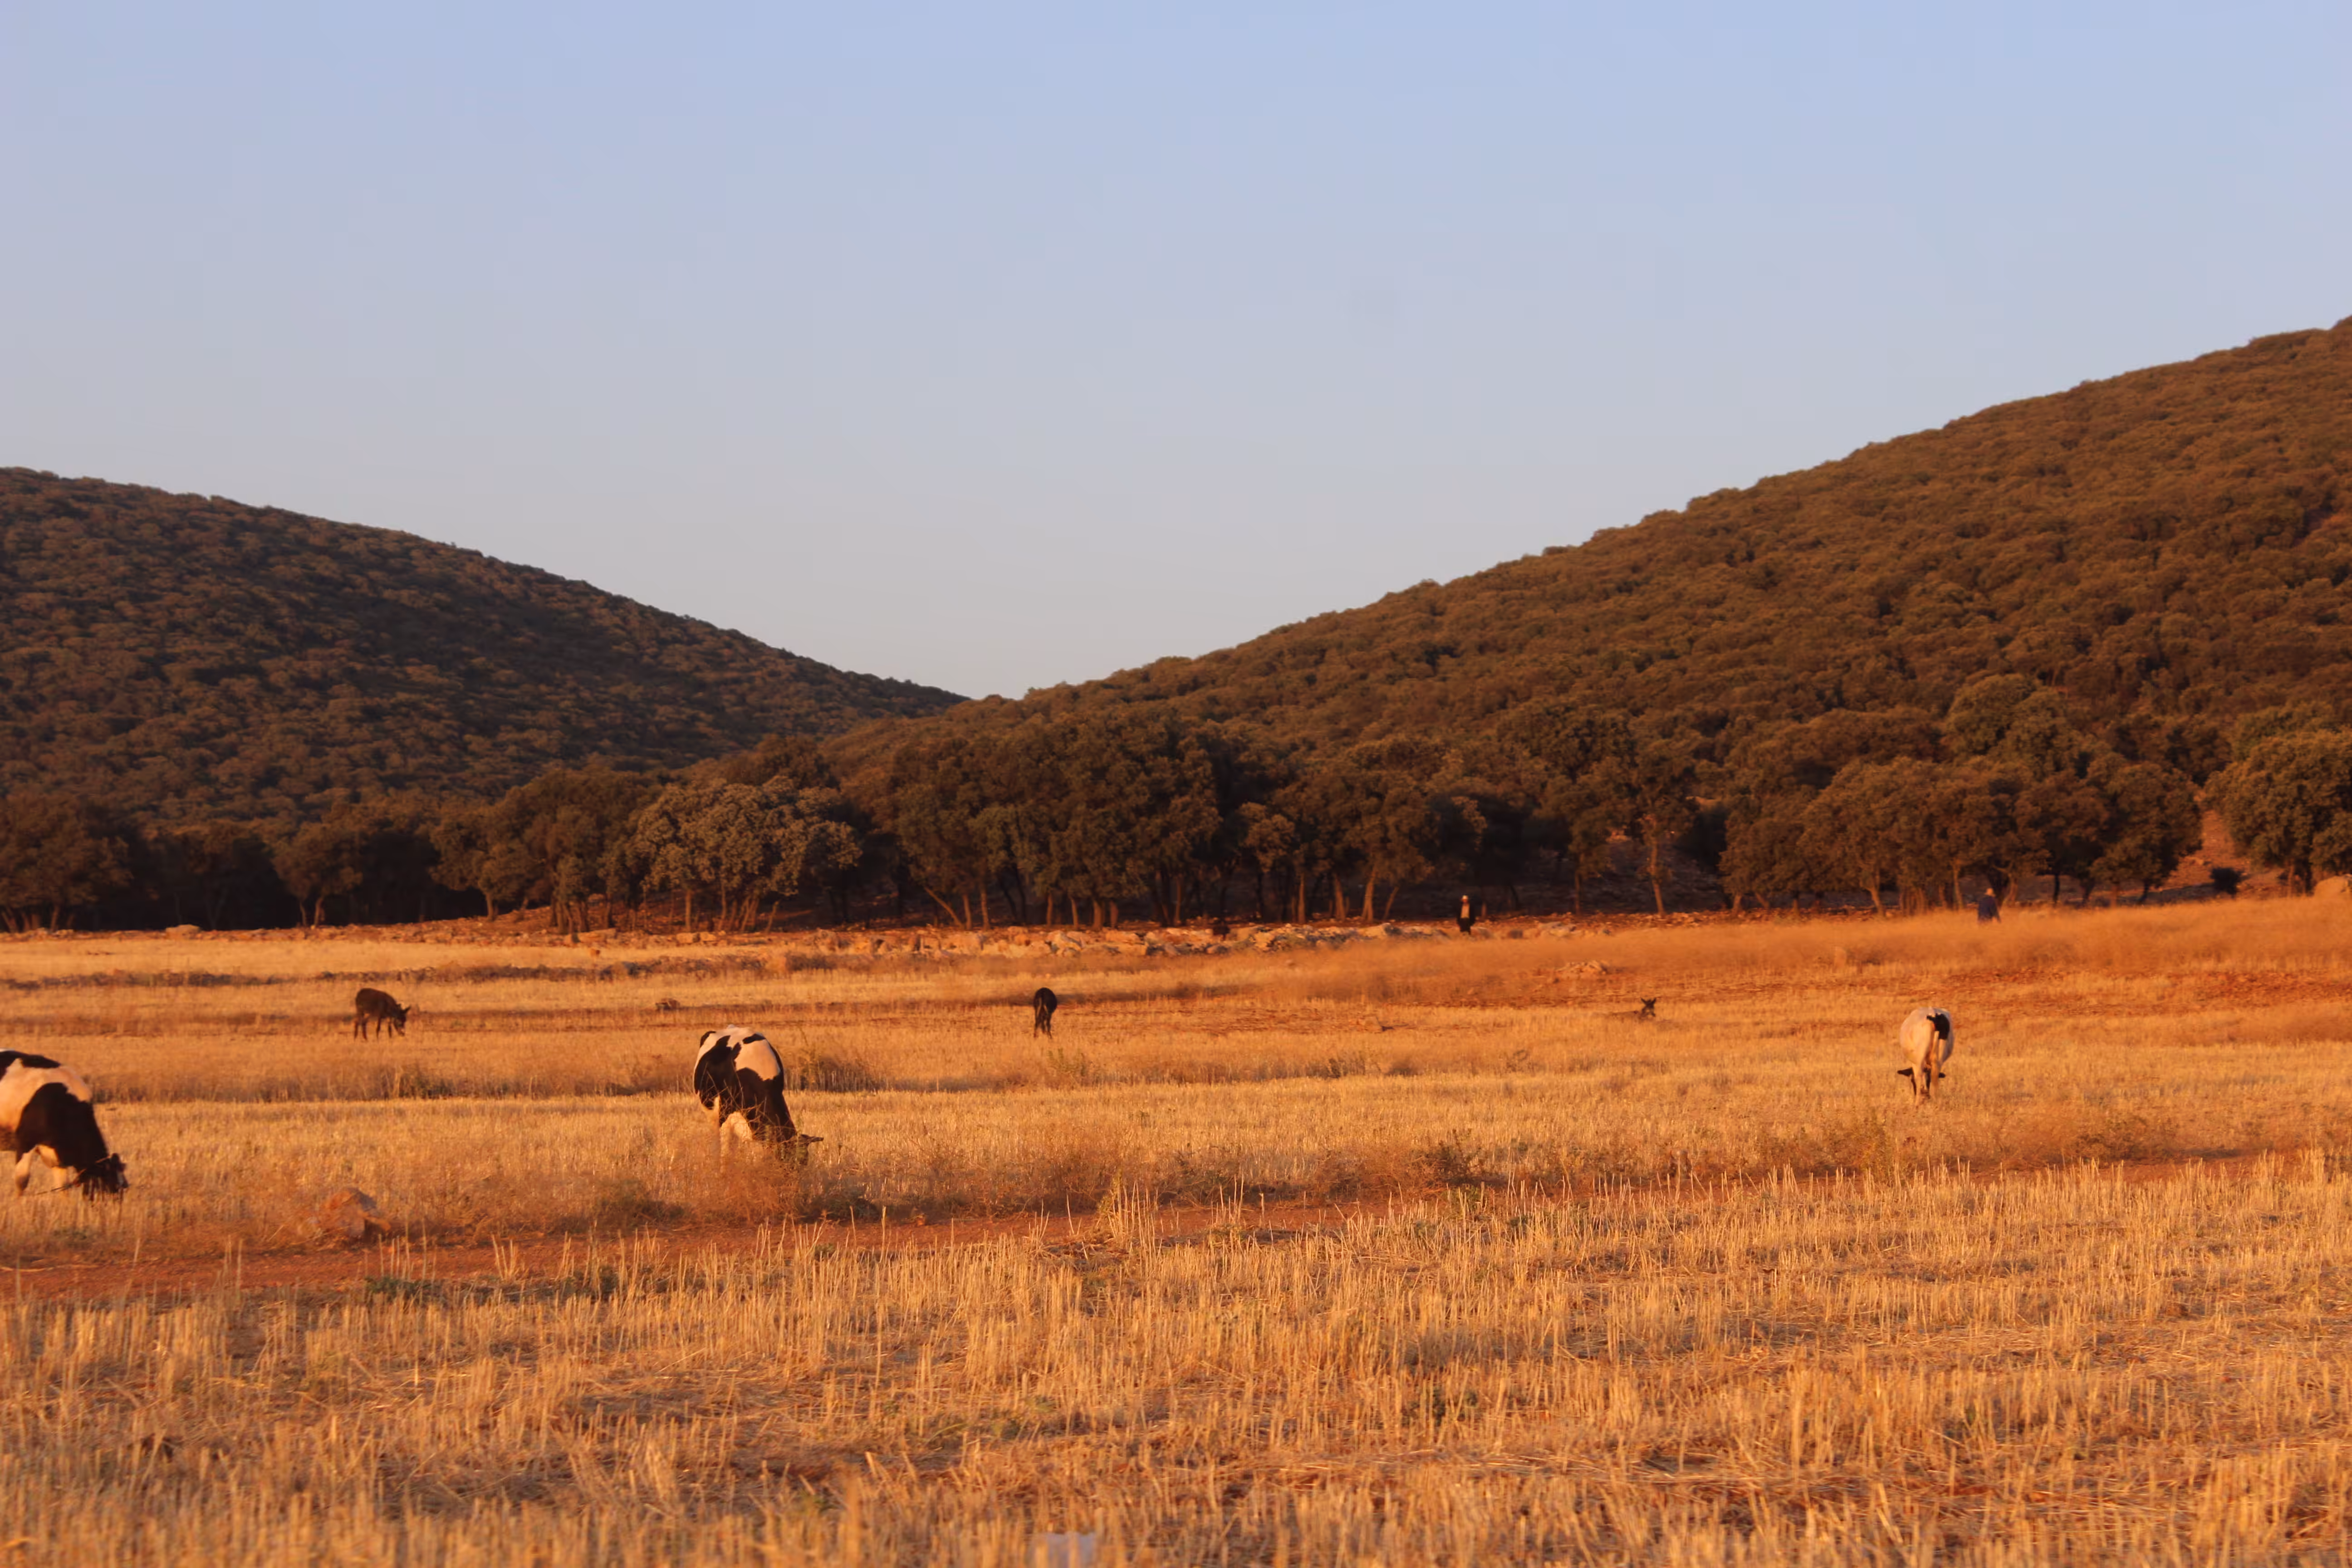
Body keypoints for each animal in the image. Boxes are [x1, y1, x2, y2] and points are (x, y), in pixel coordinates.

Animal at [0, 1052, 127, 1198]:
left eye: (123, 1187)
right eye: (108, 1183)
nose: (115, 1204)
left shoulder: (57, 1157)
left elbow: (63, 1187)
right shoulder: (26, 1140)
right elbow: (22, 1180)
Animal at [352, 988, 411, 1039]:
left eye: (405, 1021)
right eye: (399, 1023)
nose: (403, 1034)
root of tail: (358, 995)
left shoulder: (388, 1017)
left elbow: (389, 1030)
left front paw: (390, 1040)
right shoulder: (379, 1015)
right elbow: (378, 1028)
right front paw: (378, 1041)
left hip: (367, 1013)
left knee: (363, 1023)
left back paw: (366, 1039)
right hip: (360, 1010)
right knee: (357, 1022)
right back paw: (355, 1039)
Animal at [1895, 1007, 1955, 1103]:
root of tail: (1934, 1014)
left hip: (1920, 1058)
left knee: (1920, 1077)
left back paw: (1918, 1102)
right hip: (1939, 1058)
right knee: (1935, 1078)